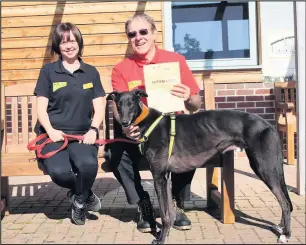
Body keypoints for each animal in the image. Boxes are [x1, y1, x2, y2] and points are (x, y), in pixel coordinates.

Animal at [106, 89, 292, 244]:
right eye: (119, 104)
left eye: (131, 103)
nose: (124, 122)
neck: (149, 122)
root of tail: (268, 125)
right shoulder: (165, 176)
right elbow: (169, 212)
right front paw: (167, 232)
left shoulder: (158, 176)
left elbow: (165, 214)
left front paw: (161, 239)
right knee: (284, 199)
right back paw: (281, 228)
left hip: (264, 167)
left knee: (284, 202)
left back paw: (286, 234)